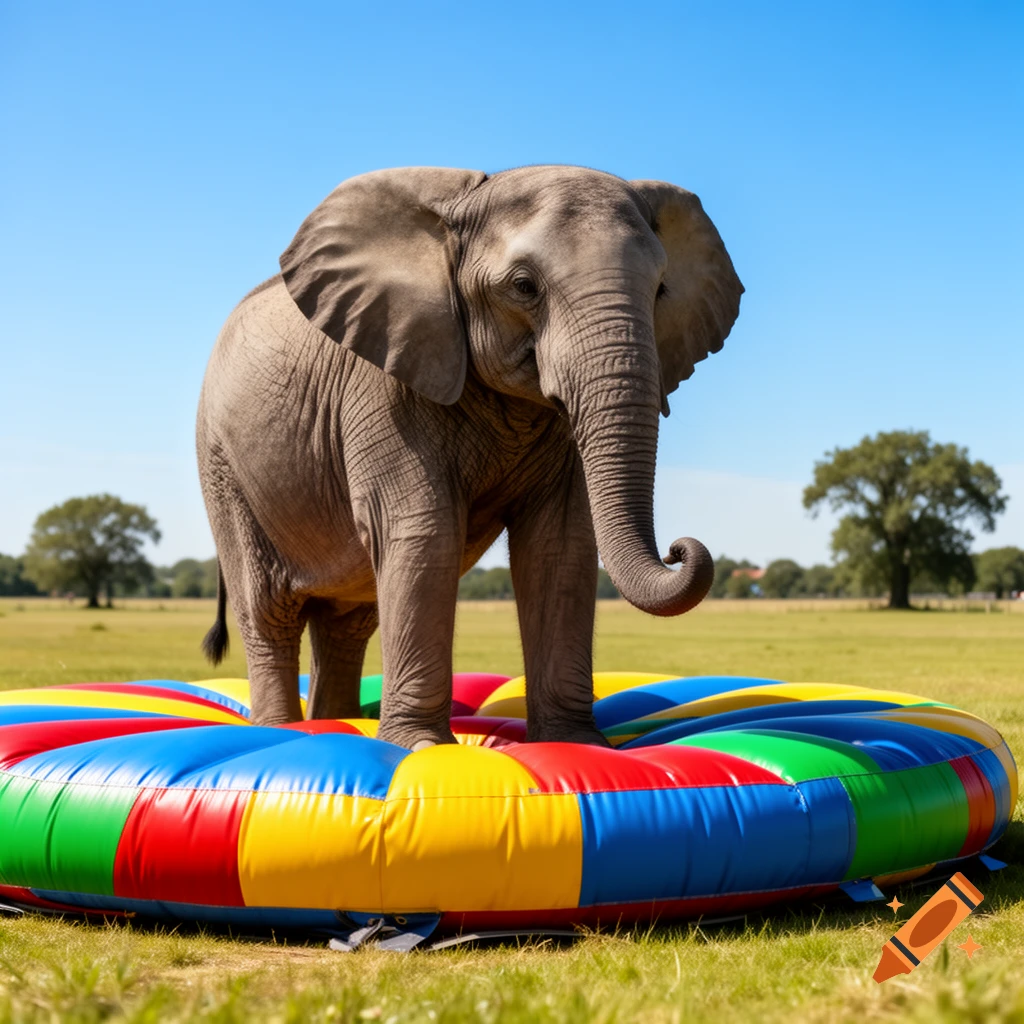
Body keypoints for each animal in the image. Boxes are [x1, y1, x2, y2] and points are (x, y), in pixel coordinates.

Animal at [197, 165, 742, 749]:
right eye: (524, 287)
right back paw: (281, 733)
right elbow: (425, 528)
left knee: (348, 621)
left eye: (661, 290)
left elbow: (560, 542)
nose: (680, 549)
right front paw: (420, 748)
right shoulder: (385, 378)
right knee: (268, 611)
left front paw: (575, 745)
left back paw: (336, 724)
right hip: (223, 467)